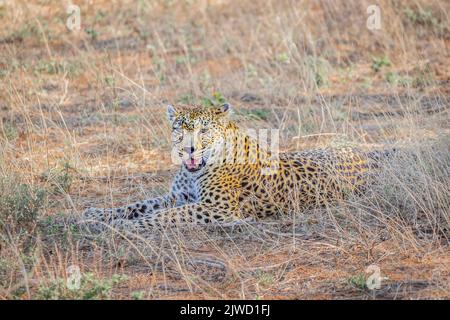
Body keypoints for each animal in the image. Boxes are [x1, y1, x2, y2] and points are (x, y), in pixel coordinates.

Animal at [83, 104, 390, 231]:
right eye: (179, 129)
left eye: (204, 130)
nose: (189, 149)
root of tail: (366, 155)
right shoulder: (178, 196)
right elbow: (138, 205)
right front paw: (96, 214)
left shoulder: (217, 208)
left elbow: (164, 216)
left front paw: (122, 226)